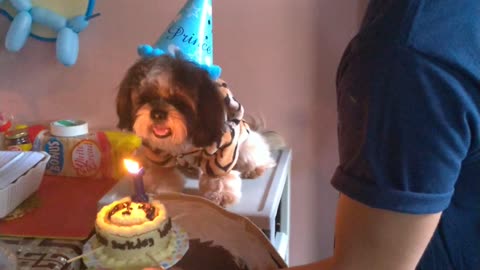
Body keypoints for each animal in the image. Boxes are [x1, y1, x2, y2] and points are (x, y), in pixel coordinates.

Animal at [116, 54, 280, 207]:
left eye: (179, 101)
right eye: (145, 97)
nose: (157, 113)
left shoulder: (223, 151)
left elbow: (219, 176)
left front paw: (220, 194)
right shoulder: (157, 154)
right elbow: (161, 171)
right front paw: (160, 190)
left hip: (247, 146)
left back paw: (254, 169)